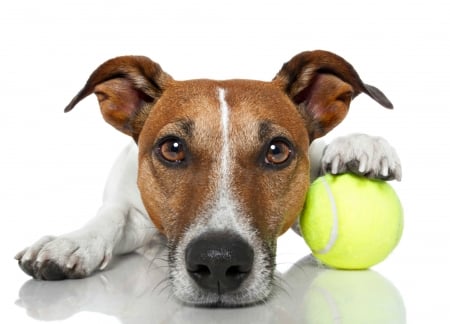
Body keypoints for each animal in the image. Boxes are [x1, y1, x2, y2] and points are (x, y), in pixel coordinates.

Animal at [14, 50, 400, 306]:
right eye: (172, 148)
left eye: (277, 151)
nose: (218, 261)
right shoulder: (132, 210)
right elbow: (112, 216)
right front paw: (71, 242)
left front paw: (357, 145)